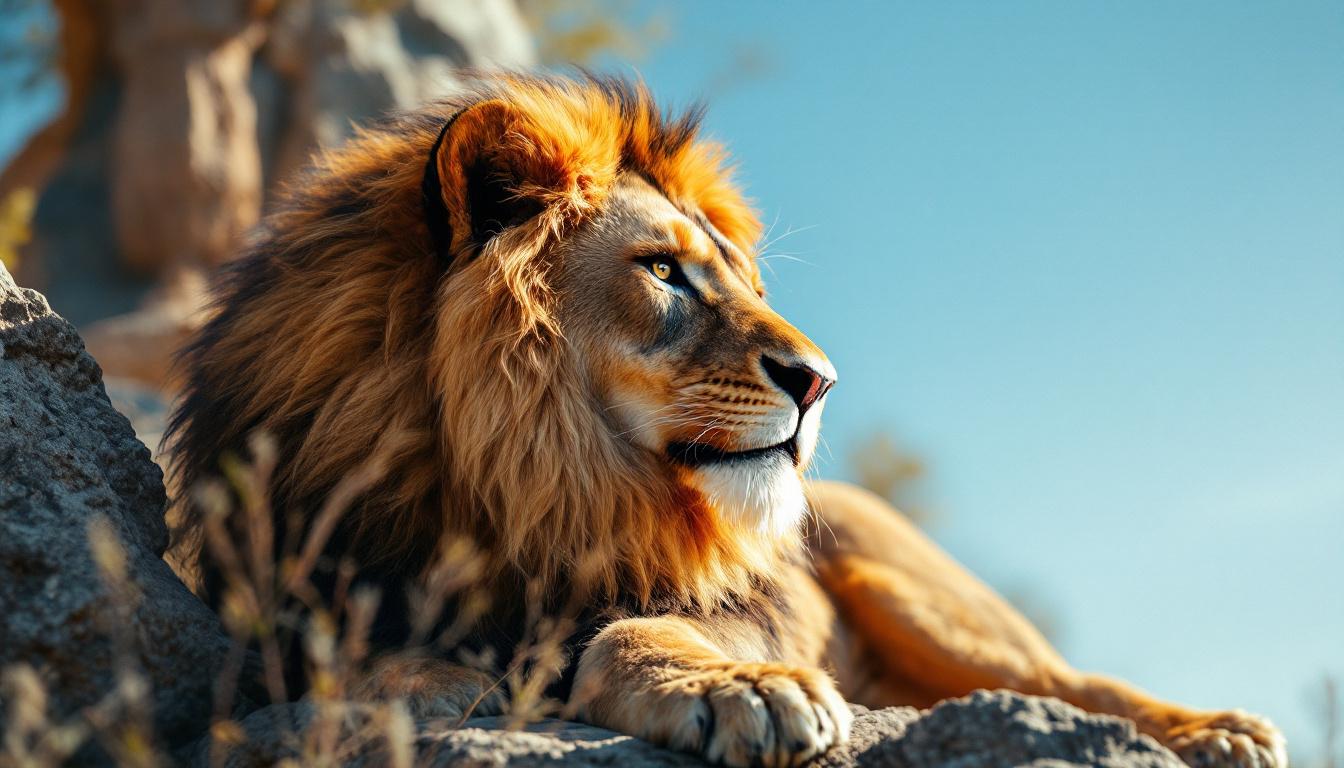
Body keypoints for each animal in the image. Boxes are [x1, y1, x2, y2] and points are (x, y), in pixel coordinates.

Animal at [167, 74, 1286, 767]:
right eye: (664, 271)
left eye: (739, 278)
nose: (819, 380)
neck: (523, 486)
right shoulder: (286, 606)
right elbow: (360, 660)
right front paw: (424, 683)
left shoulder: (741, 595)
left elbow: (646, 627)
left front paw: (745, 688)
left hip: (914, 587)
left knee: (1071, 680)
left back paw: (1219, 731)